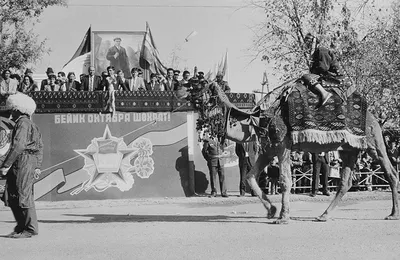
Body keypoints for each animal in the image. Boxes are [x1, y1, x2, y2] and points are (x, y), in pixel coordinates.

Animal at [193, 81, 396, 223]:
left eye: (207, 98)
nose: (198, 122)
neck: (257, 121)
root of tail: (374, 117)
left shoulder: (282, 146)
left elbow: (284, 181)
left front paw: (283, 217)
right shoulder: (269, 150)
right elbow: (250, 176)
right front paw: (271, 211)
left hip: (372, 142)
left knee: (390, 172)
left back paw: (393, 214)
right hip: (350, 149)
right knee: (345, 182)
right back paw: (323, 215)